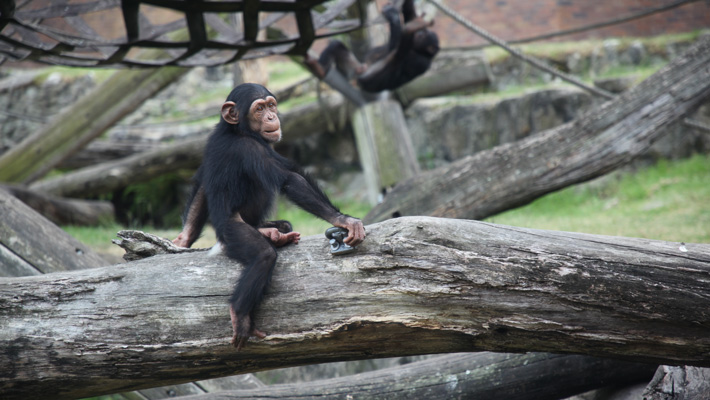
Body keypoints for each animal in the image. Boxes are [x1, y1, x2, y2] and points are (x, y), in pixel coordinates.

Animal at [173, 84, 368, 350]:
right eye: (259, 108)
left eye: (271, 105)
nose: (270, 117)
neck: (238, 130)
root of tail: (220, 239)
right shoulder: (250, 148)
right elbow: (289, 179)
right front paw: (343, 220)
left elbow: (203, 185)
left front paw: (183, 238)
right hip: (233, 232)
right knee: (263, 256)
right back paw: (240, 313)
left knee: (279, 225)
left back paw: (274, 232)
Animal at [308, 0, 440, 92]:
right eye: (421, 33)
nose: (419, 32)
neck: (419, 50)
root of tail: (354, 79)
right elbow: (409, 13)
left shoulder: (420, 61)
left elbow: (394, 50)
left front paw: (393, 15)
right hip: (352, 68)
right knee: (336, 46)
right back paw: (320, 68)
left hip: (363, 77)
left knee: (398, 55)